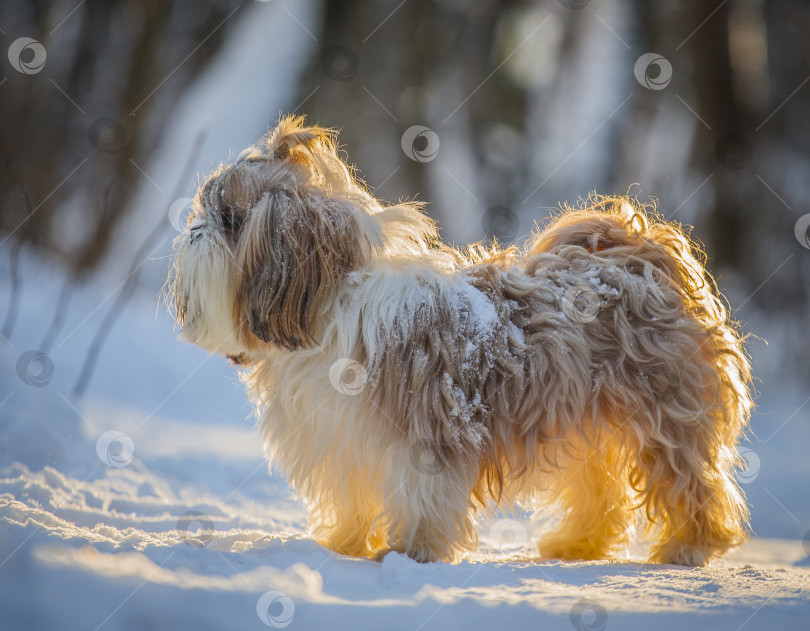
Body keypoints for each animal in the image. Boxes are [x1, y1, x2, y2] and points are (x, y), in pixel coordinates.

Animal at [167, 115, 756, 568]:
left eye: (229, 216)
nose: (191, 226)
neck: (331, 306)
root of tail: (641, 248)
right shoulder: (344, 438)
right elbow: (352, 496)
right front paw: (346, 544)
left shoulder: (425, 436)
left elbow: (421, 500)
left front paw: (410, 554)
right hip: (587, 423)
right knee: (600, 490)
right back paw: (576, 544)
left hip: (664, 414)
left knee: (692, 483)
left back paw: (687, 547)